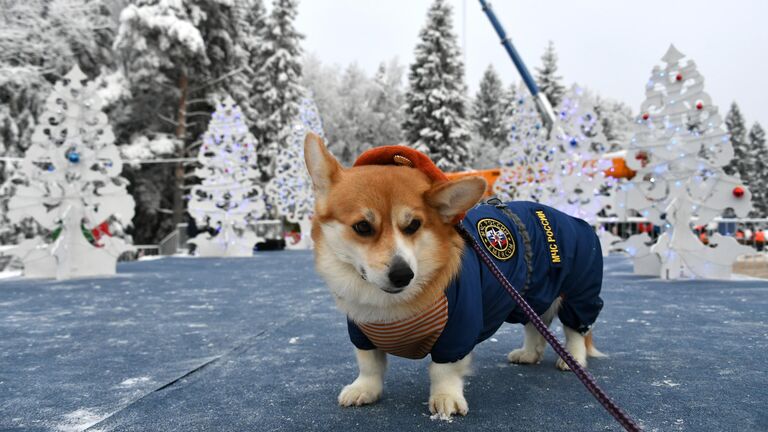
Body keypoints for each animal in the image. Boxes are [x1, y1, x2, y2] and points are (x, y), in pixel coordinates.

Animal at [304, 133, 604, 416]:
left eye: (413, 225)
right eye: (362, 227)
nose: (403, 275)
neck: (388, 307)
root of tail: (572, 219)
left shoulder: (458, 328)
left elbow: (443, 369)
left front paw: (445, 398)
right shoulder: (361, 332)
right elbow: (369, 365)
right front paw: (364, 389)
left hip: (578, 293)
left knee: (575, 331)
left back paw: (572, 359)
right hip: (527, 298)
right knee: (536, 326)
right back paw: (529, 354)